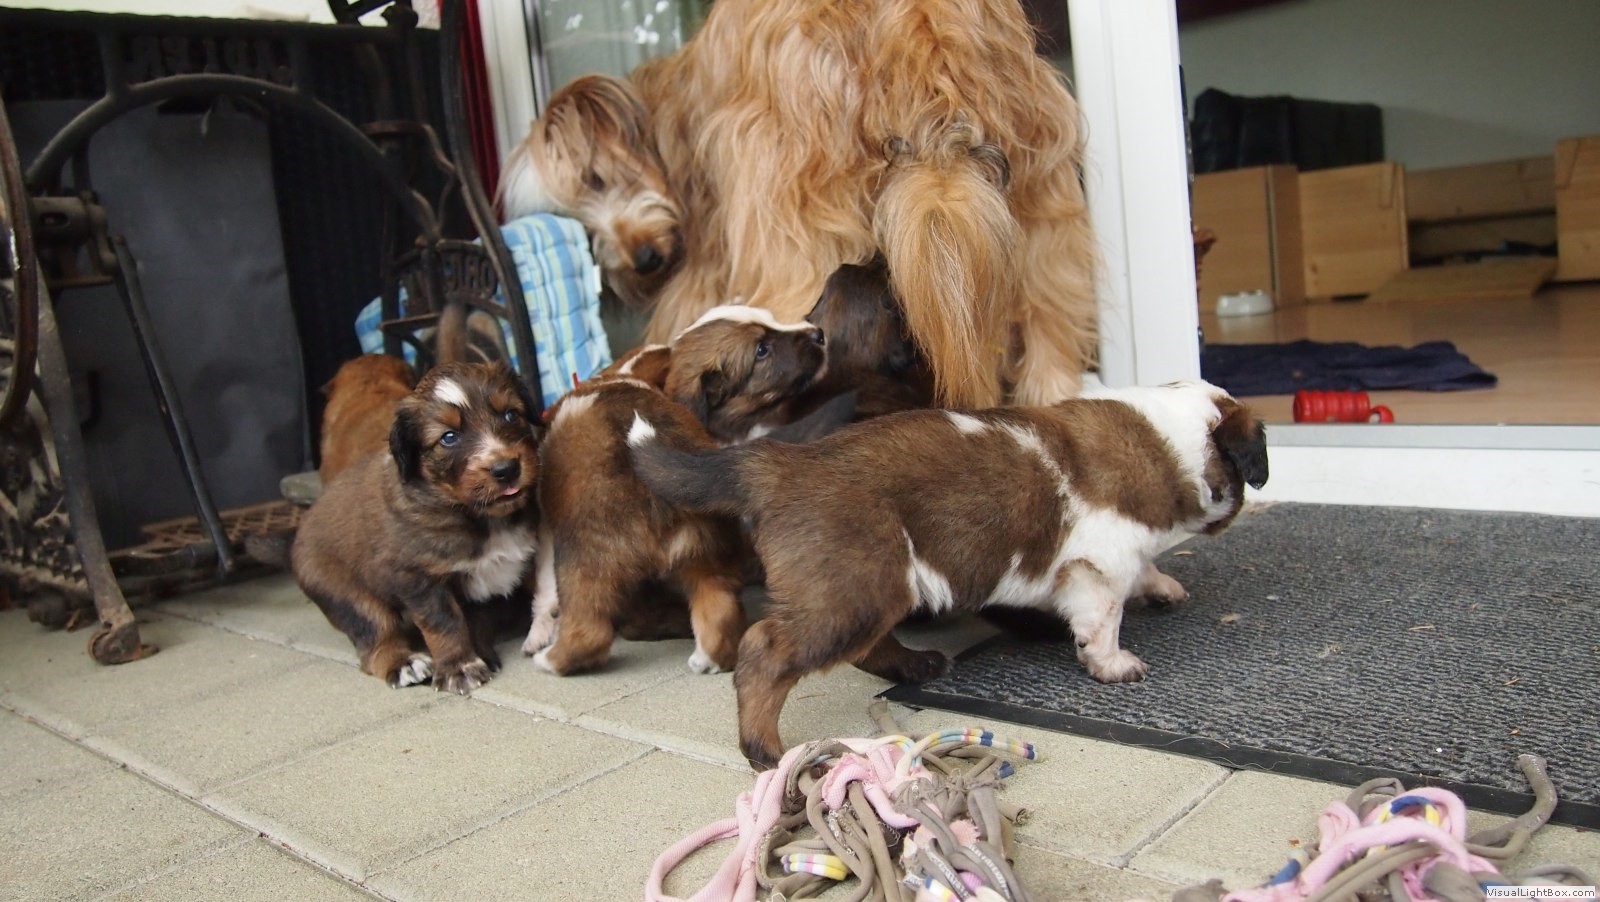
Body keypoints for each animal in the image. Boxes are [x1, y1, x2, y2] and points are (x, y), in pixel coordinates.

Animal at [501, 0, 1098, 410]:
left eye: (597, 179)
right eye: (580, 227)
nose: (642, 261)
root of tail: (917, 26)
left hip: (789, 212)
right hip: (1039, 186)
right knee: (1049, 305)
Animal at [627, 380, 1268, 768]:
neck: (1168, 442)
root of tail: (780, 462)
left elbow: (1142, 572)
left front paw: (1161, 587)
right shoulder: (1099, 565)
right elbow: (1104, 618)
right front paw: (1113, 664)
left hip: (879, 584)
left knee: (869, 646)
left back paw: (916, 665)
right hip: (855, 587)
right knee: (765, 653)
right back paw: (765, 749)